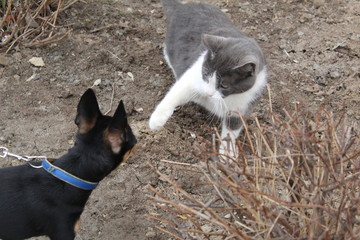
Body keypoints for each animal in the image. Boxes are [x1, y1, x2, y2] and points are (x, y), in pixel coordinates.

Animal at [149, 0, 268, 157]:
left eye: (224, 85)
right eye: (205, 74)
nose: (208, 93)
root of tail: (182, 6)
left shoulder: (244, 103)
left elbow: (232, 129)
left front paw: (228, 156)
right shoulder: (193, 75)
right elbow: (177, 92)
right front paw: (156, 120)